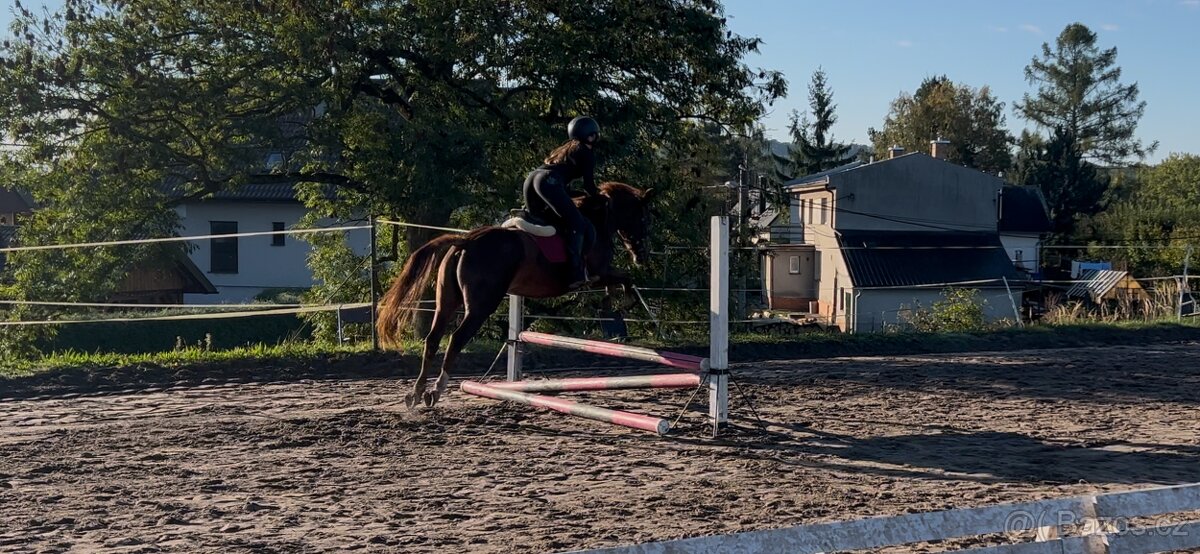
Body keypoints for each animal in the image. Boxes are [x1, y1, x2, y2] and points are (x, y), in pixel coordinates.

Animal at [376, 182, 655, 408]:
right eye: (643, 218)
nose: (641, 256)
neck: (596, 218)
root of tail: (467, 240)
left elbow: (618, 283)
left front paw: (612, 300)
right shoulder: (598, 272)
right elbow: (625, 279)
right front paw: (627, 299)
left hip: (446, 301)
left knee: (433, 339)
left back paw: (416, 392)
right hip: (481, 306)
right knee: (456, 338)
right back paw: (436, 389)